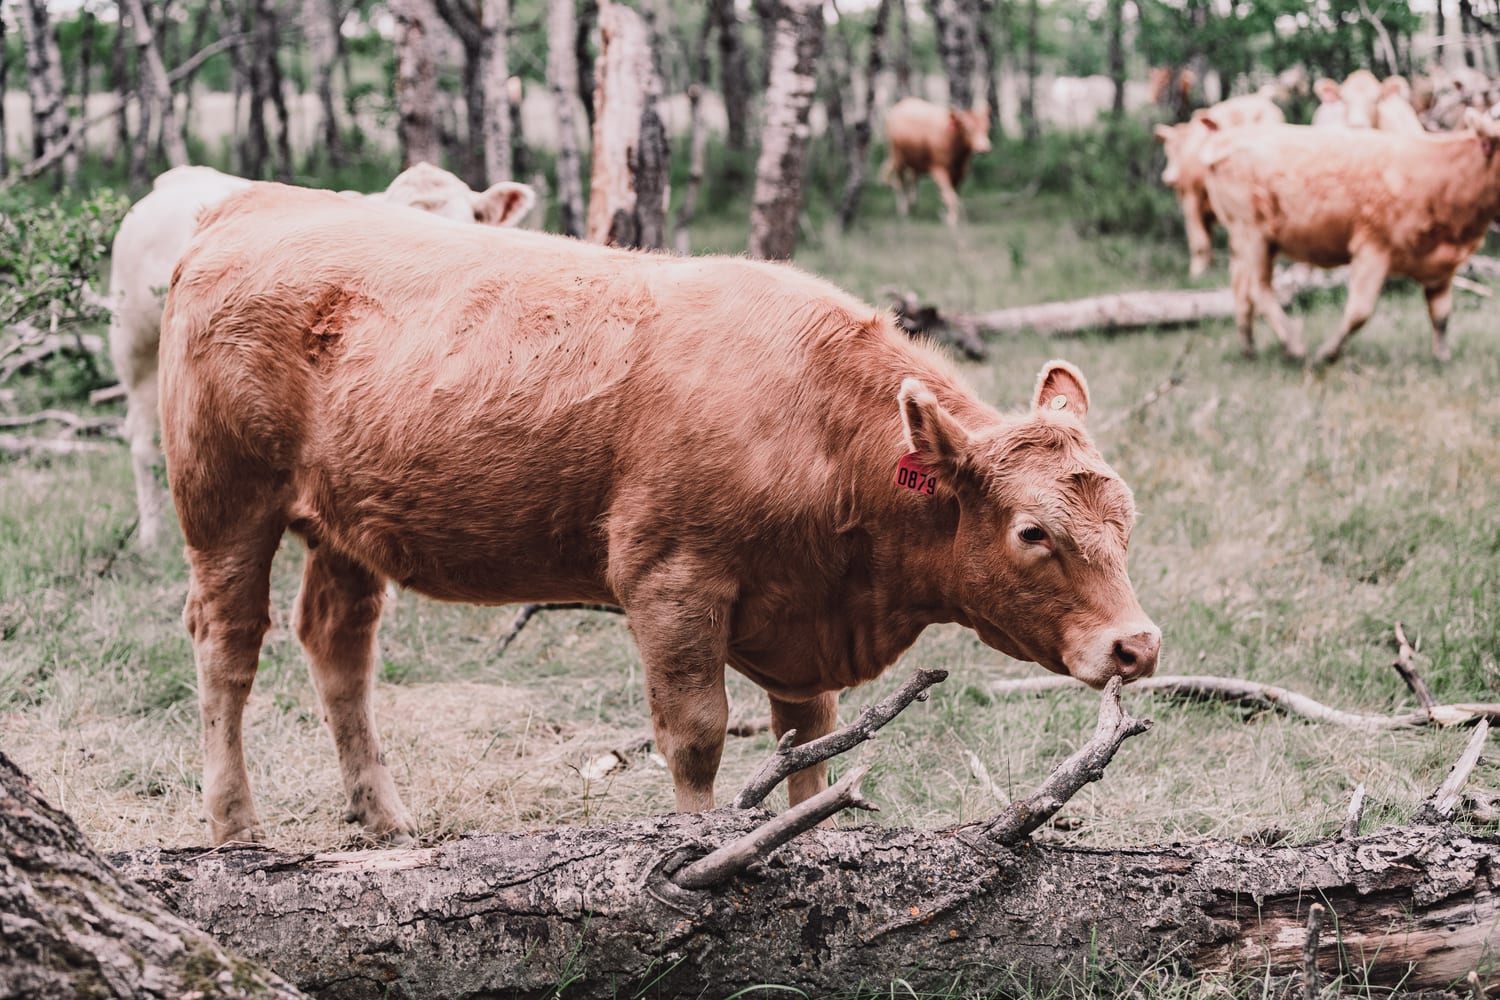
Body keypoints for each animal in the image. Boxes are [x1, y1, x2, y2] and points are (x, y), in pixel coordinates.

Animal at [159, 183, 1161, 845]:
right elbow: (696, 738)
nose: (1137, 646)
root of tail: (250, 206)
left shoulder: (800, 627)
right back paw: (235, 826)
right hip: (226, 503)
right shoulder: (672, 583)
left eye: (1127, 519)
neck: (817, 428)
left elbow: (810, 744)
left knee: (338, 645)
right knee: (227, 648)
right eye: (1032, 533)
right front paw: (696, 850)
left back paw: (385, 818)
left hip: (344, 524)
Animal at [882, 97, 992, 227]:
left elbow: (953, 194)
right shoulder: (939, 170)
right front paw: (951, 220)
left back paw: (913, 204)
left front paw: (949, 214)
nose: (983, 149)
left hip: (915, 161)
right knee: (900, 183)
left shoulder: (960, 173)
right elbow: (950, 196)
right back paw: (904, 210)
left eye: (986, 127)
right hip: (898, 158)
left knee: (913, 179)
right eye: (967, 128)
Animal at [1201, 110, 1500, 363]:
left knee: (1240, 288)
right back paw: (1294, 346)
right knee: (1257, 288)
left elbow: (1442, 315)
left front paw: (1442, 357)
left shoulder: (1440, 266)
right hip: (1251, 231)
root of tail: (1225, 138)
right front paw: (1327, 354)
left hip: (1245, 239)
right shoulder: (1373, 245)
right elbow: (1359, 311)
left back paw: (1249, 349)